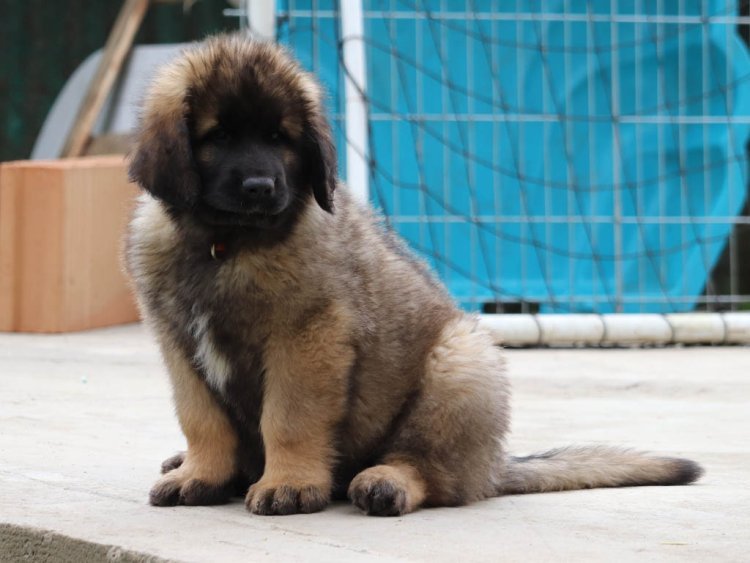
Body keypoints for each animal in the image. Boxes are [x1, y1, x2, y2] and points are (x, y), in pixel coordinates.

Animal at [125, 33, 704, 516]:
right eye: (219, 137)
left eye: (278, 138)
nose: (261, 187)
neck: (227, 244)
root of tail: (493, 468)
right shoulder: (178, 345)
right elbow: (202, 418)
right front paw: (201, 475)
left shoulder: (307, 339)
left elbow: (288, 419)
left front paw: (287, 483)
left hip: (460, 363)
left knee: (431, 471)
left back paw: (386, 482)